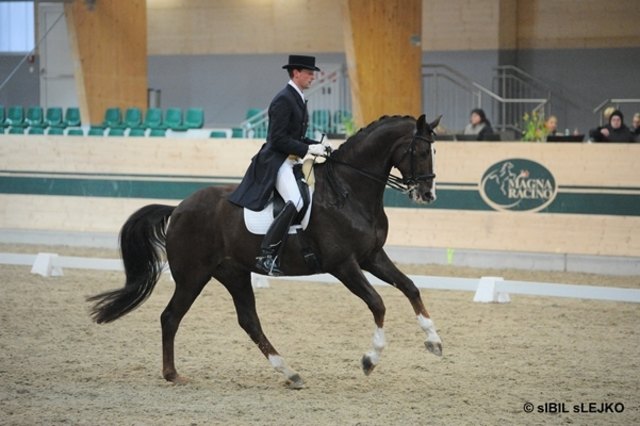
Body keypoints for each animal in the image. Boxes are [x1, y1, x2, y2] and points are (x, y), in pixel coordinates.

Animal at [87, 115, 442, 388]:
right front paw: (370, 360)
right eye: (422, 150)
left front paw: (434, 341)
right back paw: (173, 374)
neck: (348, 193)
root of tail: (178, 208)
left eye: (434, 149)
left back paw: (290, 373)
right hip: (193, 276)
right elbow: (378, 303)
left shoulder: (372, 256)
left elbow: (410, 287)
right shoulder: (343, 265)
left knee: (249, 321)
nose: (427, 194)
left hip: (233, 273)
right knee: (171, 317)